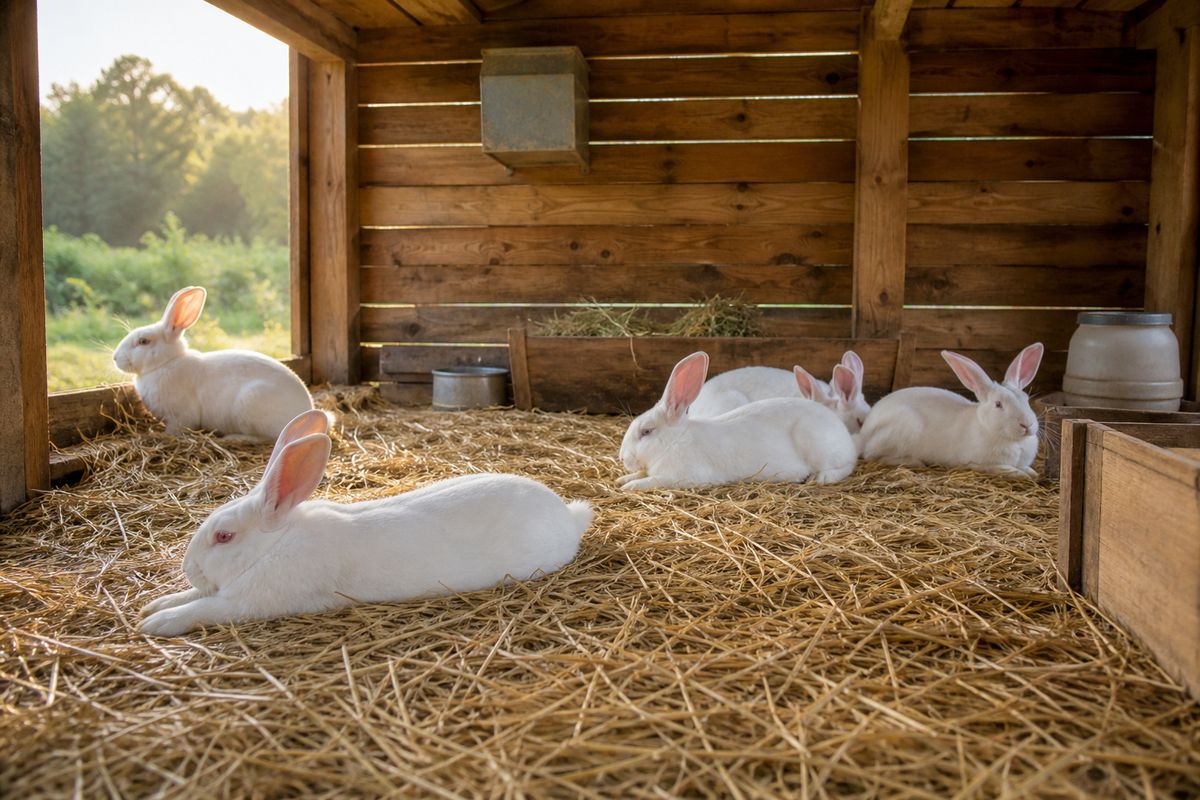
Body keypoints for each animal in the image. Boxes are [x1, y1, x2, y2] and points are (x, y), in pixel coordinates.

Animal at [112, 286, 317, 441]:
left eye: (143, 341)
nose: (115, 358)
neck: (167, 362)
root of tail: (306, 412)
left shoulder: (180, 417)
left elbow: (176, 430)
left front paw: (162, 436)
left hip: (250, 405)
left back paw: (233, 438)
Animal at [139, 410, 593, 636]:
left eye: (224, 536)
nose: (188, 568)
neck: (275, 544)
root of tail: (568, 515)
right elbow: (191, 597)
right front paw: (156, 603)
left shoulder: (246, 602)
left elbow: (205, 608)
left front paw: (156, 623)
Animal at [855, 343, 1044, 478]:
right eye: (998, 404)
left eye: (1026, 399)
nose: (1027, 425)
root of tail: (865, 433)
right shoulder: (978, 462)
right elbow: (1006, 469)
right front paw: (1024, 475)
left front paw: (1033, 473)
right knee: (875, 456)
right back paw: (915, 462)